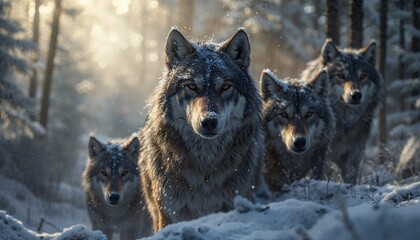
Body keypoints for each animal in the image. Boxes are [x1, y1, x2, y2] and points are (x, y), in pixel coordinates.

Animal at [300, 39, 382, 184]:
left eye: (363, 77)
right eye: (341, 76)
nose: (356, 95)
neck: (345, 124)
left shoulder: (353, 156)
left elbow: (351, 180)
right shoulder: (324, 156)